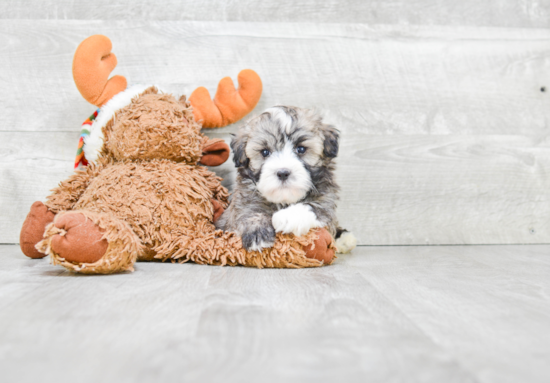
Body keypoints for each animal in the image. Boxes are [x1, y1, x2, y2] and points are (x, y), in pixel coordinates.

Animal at [216, 106, 358, 255]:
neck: (283, 200)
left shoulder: (326, 202)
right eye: (265, 152)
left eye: (300, 149)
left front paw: (286, 217)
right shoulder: (242, 201)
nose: (283, 173)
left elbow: (314, 207)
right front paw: (257, 233)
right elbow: (249, 212)